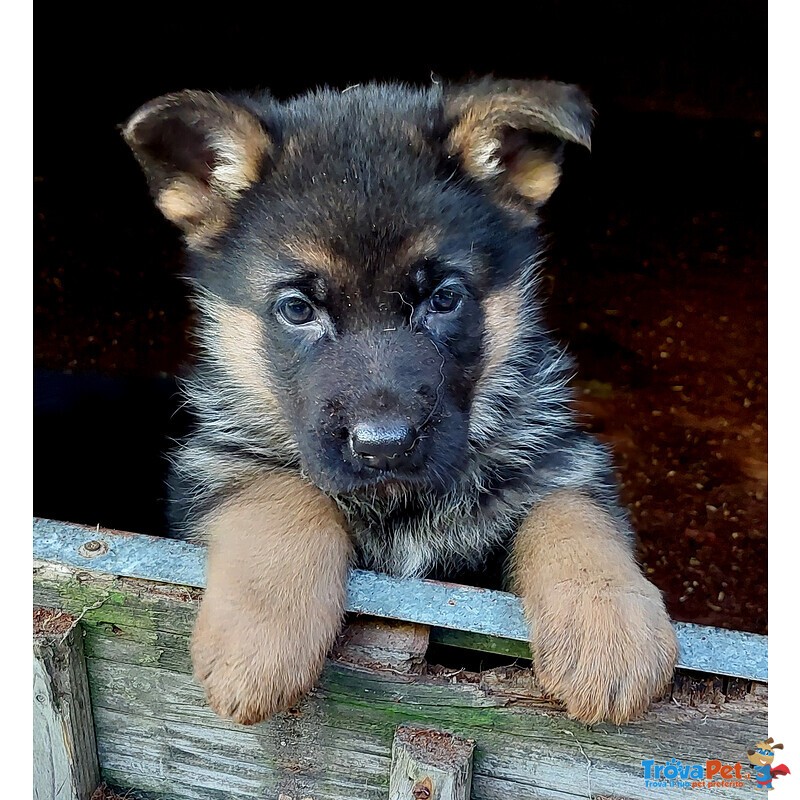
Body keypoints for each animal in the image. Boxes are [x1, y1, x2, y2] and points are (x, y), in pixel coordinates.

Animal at [122, 79, 680, 724]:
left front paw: (611, 630)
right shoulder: (218, 462)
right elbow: (280, 493)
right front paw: (257, 643)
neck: (400, 505)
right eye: (297, 309)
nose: (384, 447)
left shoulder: (559, 460)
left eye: (444, 298)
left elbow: (572, 515)